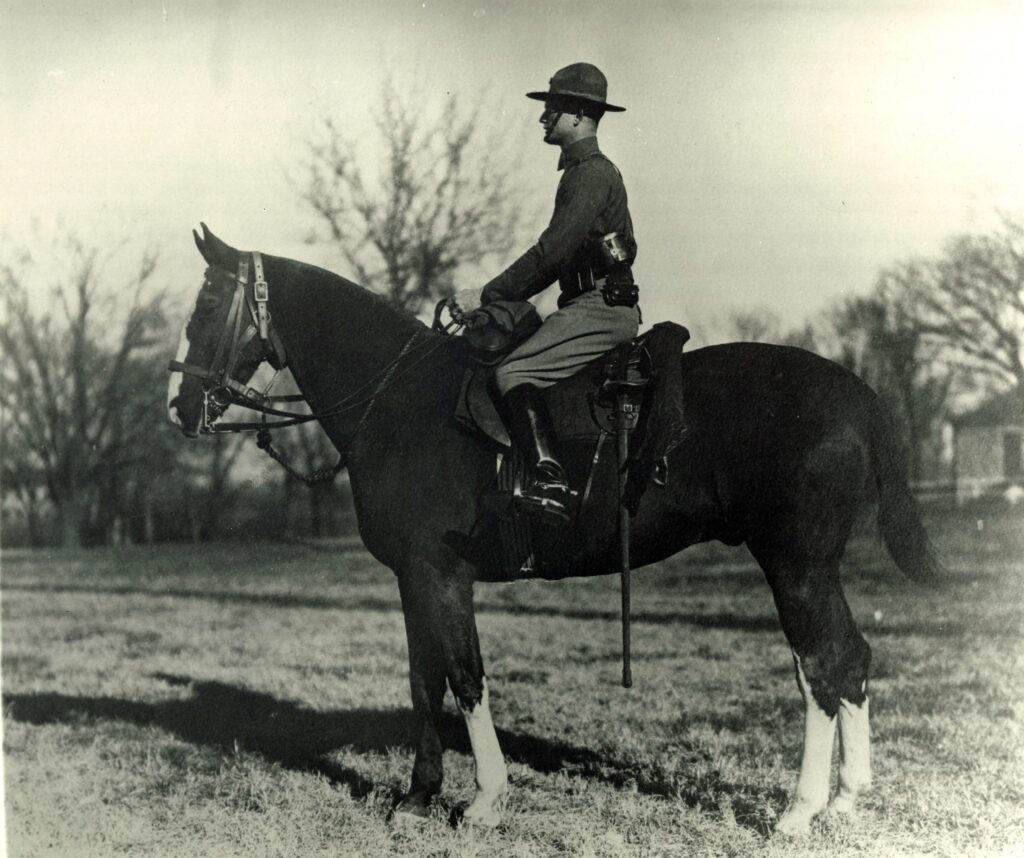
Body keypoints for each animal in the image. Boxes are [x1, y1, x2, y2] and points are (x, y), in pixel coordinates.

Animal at [165, 225, 937, 835]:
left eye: (206, 303)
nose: (180, 405)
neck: (400, 398)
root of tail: (855, 390)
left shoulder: (438, 573)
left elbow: (465, 677)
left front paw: (484, 801)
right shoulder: (416, 579)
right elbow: (424, 679)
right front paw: (418, 797)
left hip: (795, 564)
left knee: (821, 668)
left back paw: (800, 811)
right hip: (811, 568)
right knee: (848, 659)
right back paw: (846, 800)